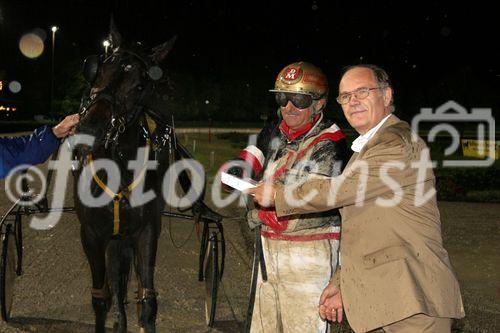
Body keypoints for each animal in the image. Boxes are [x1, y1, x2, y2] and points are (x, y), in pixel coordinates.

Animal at [72, 24, 203, 332]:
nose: (89, 130)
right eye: (99, 69)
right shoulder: (92, 234)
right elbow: (101, 298)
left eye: (141, 85)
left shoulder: (146, 230)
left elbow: (148, 301)